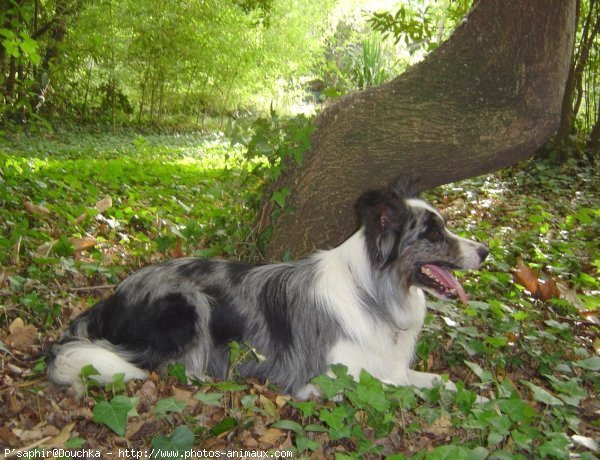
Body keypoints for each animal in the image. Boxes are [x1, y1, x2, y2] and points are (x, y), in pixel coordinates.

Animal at [47, 177, 488, 398]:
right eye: (433, 233)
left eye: (442, 226)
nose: (484, 250)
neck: (372, 292)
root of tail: (112, 298)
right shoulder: (326, 379)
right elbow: (398, 389)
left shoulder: (386, 364)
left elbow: (436, 382)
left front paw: (476, 396)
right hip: (189, 304)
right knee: (142, 361)